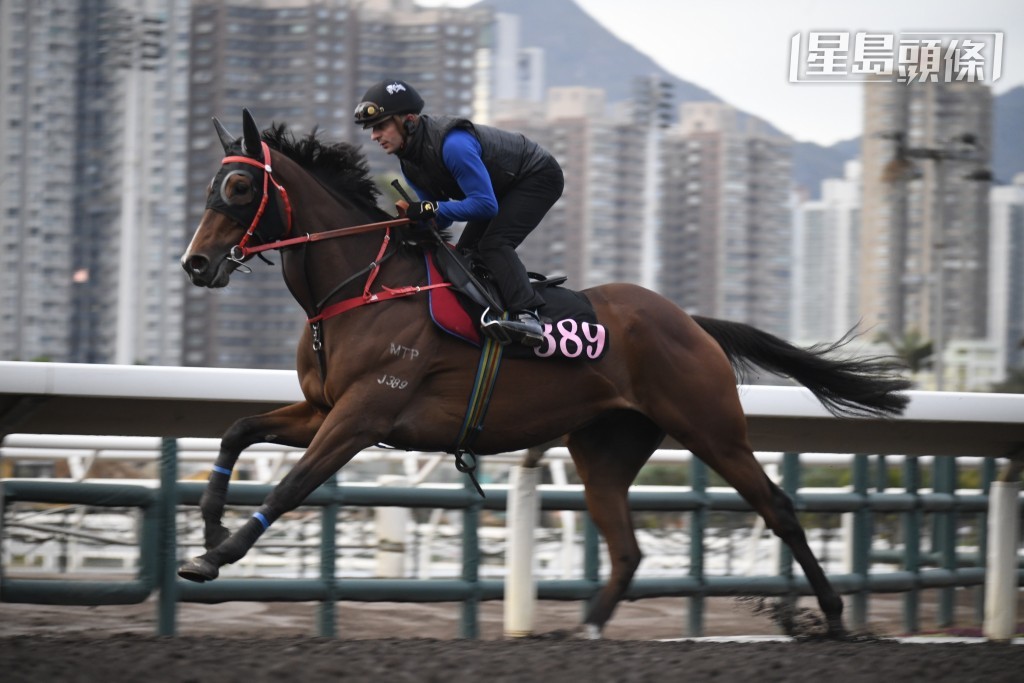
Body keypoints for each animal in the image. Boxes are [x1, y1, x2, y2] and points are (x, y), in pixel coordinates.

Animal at [179, 109, 910, 639]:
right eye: (211, 184)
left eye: (240, 186)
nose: (195, 264)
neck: (364, 284)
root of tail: (692, 322)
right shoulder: (321, 408)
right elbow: (237, 431)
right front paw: (208, 530)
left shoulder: (363, 415)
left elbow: (291, 486)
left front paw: (215, 556)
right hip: (604, 446)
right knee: (628, 548)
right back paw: (582, 631)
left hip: (711, 428)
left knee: (778, 508)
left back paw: (835, 617)